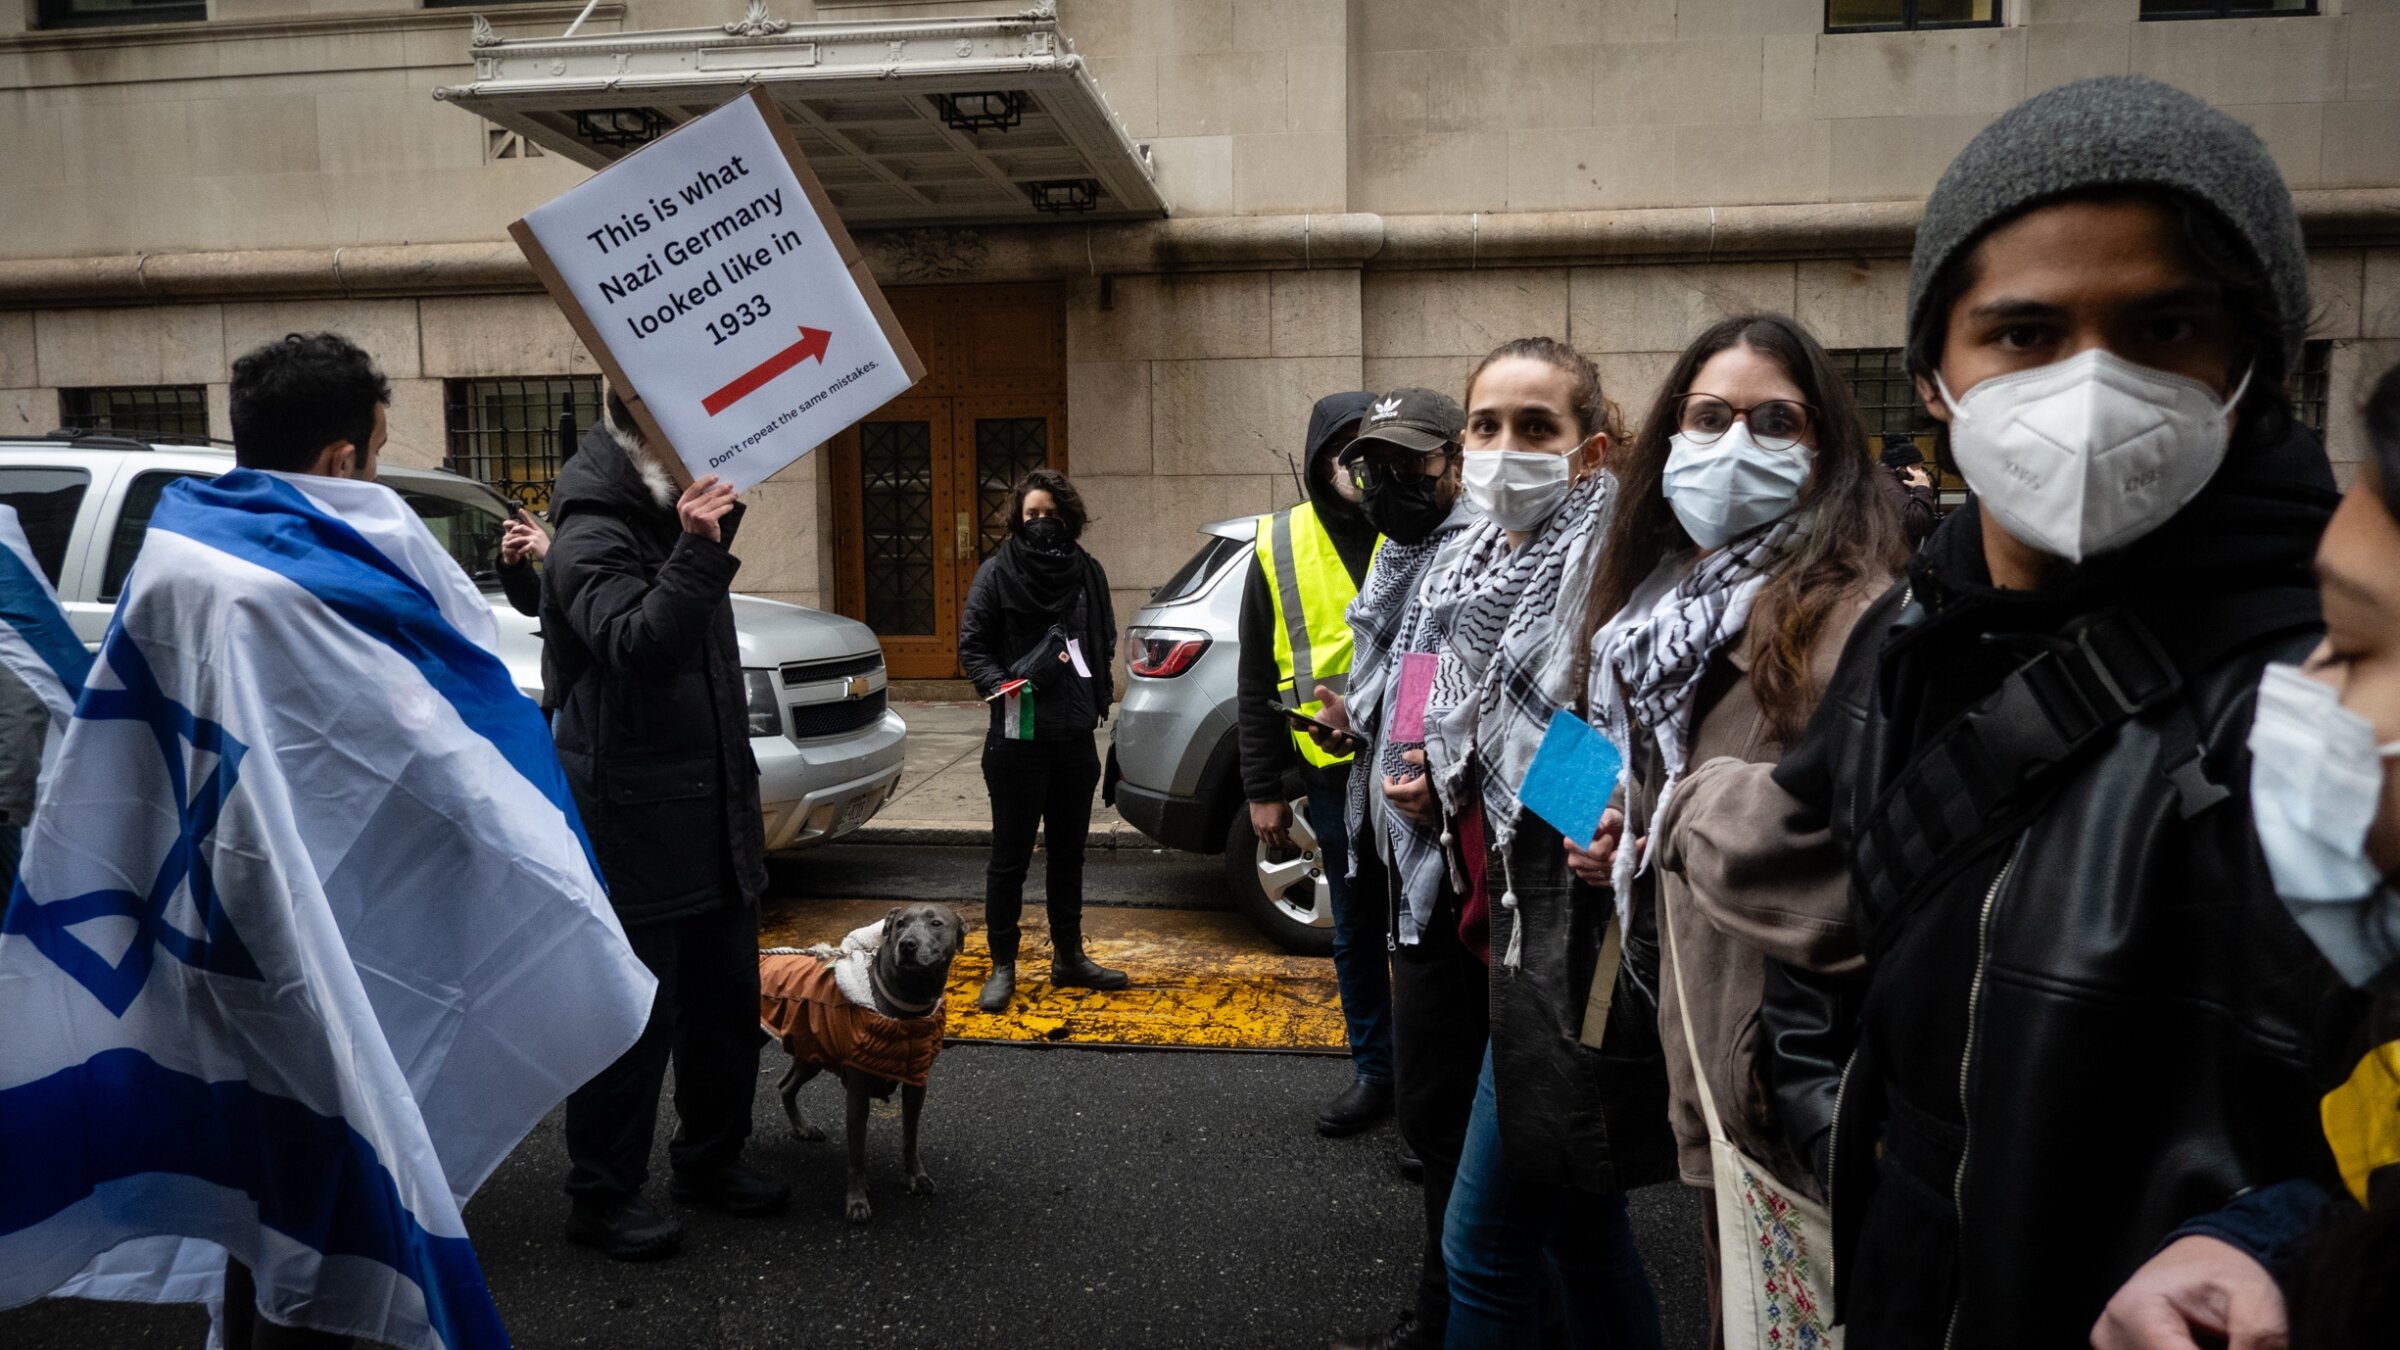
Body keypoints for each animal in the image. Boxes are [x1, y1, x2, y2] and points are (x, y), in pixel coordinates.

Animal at [758, 903, 964, 1220]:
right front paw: (856, 1200)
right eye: (900, 923)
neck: (907, 1008)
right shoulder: (858, 1091)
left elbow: (910, 1135)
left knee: (785, 1085)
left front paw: (915, 1176)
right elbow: (857, 1152)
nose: (907, 945)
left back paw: (803, 1128)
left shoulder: (916, 1084)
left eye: (936, 923)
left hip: (809, 1045)